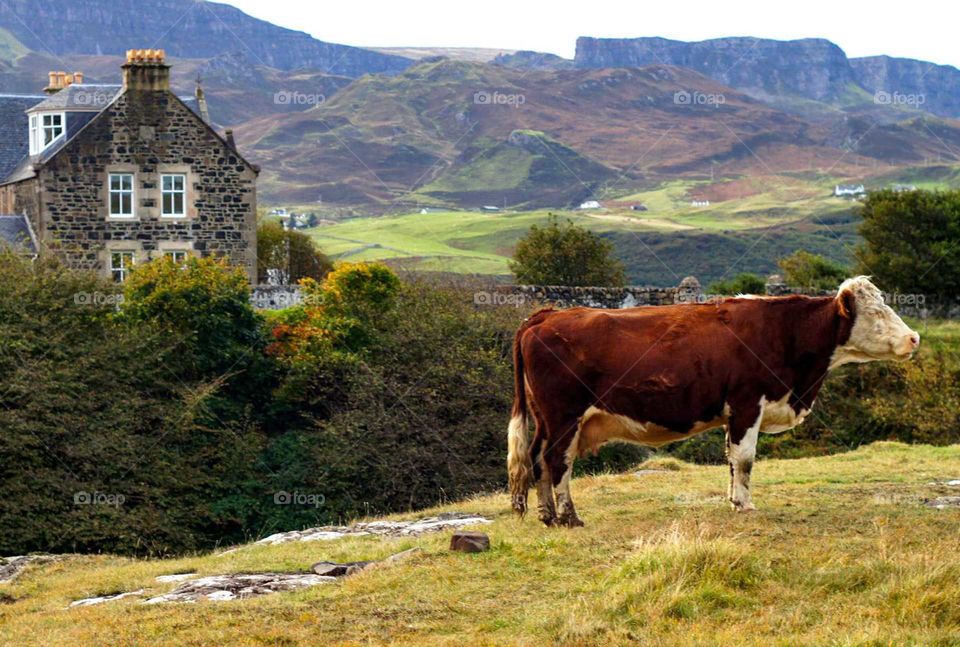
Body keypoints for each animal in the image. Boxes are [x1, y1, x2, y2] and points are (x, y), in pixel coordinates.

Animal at [507, 277, 920, 527]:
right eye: (877, 313)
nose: (914, 337)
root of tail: (546, 315)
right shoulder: (747, 402)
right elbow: (745, 458)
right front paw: (746, 504)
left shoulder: (734, 412)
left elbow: (731, 459)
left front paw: (733, 500)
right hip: (565, 415)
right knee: (557, 461)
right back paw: (569, 516)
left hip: (547, 418)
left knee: (537, 457)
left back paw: (547, 515)